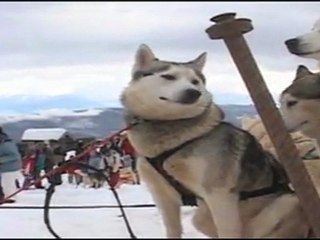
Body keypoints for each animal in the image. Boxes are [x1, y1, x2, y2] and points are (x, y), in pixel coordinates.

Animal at [120, 44, 312, 237]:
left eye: (195, 81)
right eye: (168, 76)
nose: (193, 93)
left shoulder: (219, 195)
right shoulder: (163, 197)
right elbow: (172, 230)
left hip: (286, 202)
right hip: (204, 216)